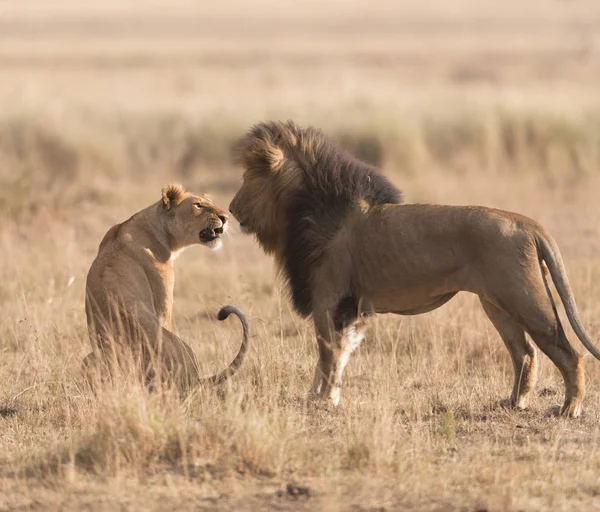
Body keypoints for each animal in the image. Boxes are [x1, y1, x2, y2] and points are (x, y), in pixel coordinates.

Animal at [230, 120, 600, 416]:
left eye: (248, 177)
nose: (231, 209)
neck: (306, 210)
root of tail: (527, 223)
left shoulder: (328, 298)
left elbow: (327, 352)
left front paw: (322, 399)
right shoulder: (346, 305)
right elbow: (337, 352)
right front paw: (320, 396)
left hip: (525, 299)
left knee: (568, 352)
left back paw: (569, 408)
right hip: (496, 304)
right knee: (524, 353)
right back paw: (513, 403)